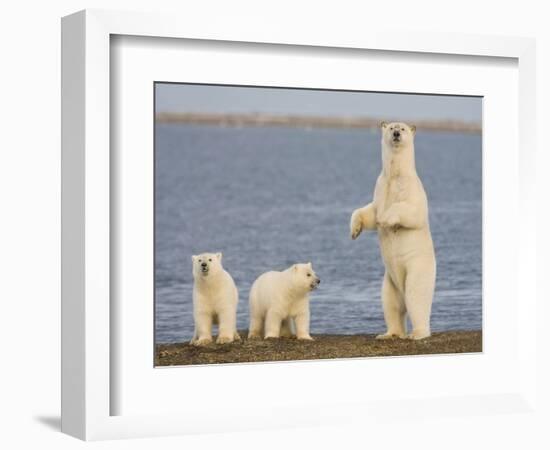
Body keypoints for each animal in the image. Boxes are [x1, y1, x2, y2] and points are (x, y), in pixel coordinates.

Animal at [352, 121, 438, 340]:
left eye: (404, 129)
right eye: (391, 127)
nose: (397, 134)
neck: (395, 175)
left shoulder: (413, 189)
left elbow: (412, 212)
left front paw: (387, 220)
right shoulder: (380, 186)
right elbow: (369, 212)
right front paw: (355, 230)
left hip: (418, 268)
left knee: (416, 297)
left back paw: (417, 333)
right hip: (389, 281)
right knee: (391, 304)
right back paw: (389, 333)